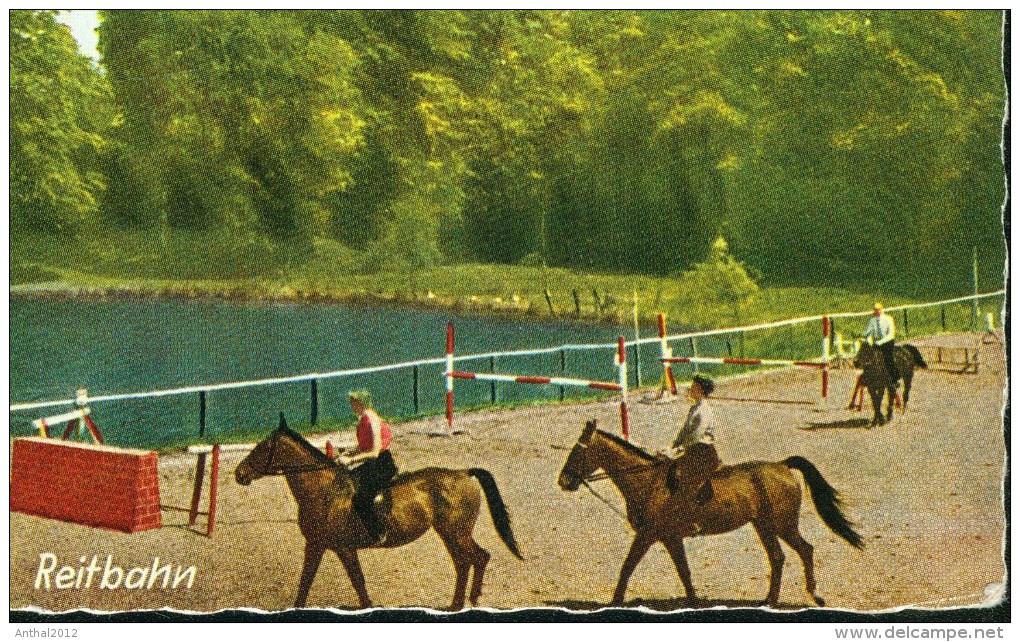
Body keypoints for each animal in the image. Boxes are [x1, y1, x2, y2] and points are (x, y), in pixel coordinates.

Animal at [234, 412, 522, 608]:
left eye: (261, 448)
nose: (239, 473)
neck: (324, 490)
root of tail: (463, 473)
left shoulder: (340, 547)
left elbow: (354, 582)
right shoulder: (318, 544)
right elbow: (310, 581)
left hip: (456, 532)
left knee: (475, 558)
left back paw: (465, 601)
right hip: (450, 532)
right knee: (466, 562)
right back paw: (458, 604)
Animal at [558, 418, 860, 608]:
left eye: (577, 452)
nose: (563, 481)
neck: (648, 481)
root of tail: (782, 466)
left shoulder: (648, 534)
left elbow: (627, 566)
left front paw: (615, 602)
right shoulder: (670, 537)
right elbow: (683, 571)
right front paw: (693, 601)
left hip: (781, 525)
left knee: (803, 550)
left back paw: (810, 596)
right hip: (764, 526)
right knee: (779, 557)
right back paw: (770, 600)